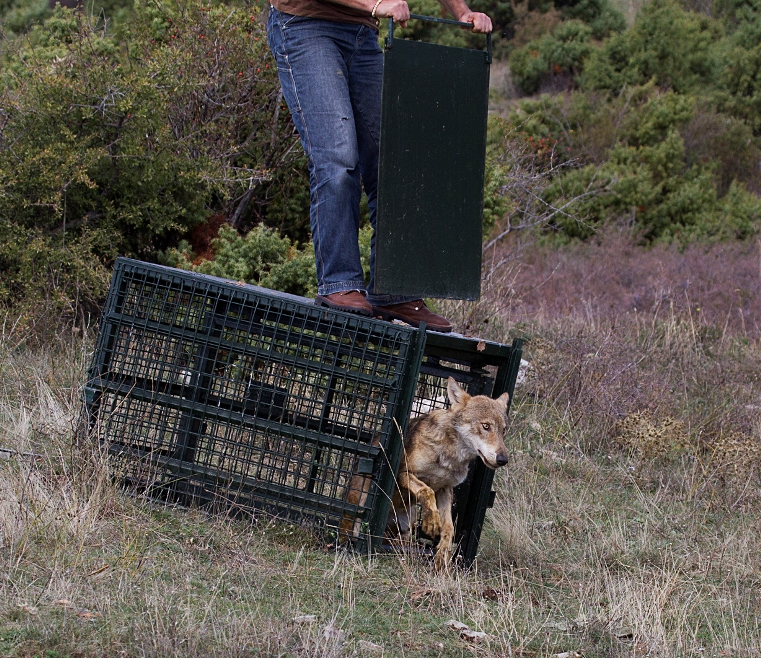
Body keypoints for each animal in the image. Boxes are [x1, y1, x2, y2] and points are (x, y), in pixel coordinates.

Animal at [388, 374, 508, 568]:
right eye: (486, 426)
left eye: (504, 430)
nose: (503, 459)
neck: (450, 457)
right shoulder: (401, 474)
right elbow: (426, 490)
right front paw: (431, 523)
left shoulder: (445, 489)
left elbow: (449, 527)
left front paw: (443, 556)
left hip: (408, 522)